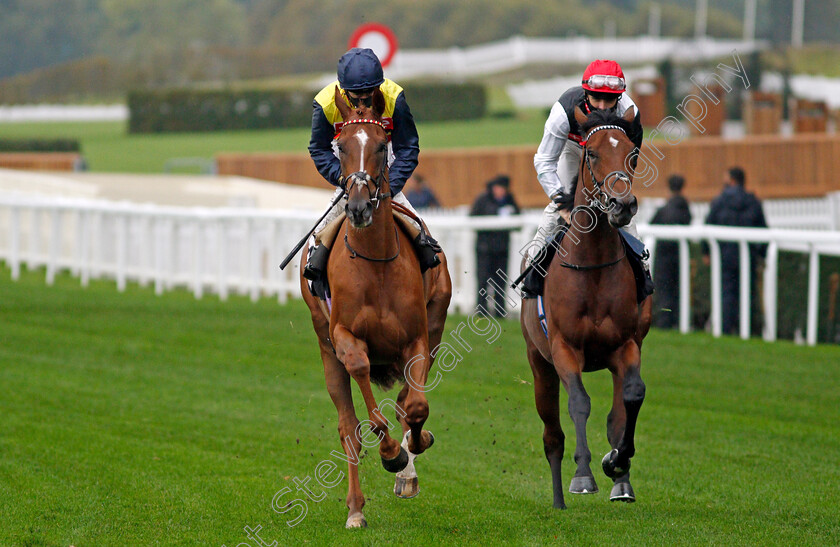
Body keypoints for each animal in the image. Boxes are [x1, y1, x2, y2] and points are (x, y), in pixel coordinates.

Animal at [296, 88, 450, 528]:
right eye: (342, 146)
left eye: (382, 146)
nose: (360, 208)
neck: (375, 263)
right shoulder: (344, 336)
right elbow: (364, 381)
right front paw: (391, 453)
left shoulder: (418, 338)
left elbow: (415, 406)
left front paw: (410, 457)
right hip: (324, 346)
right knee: (348, 428)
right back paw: (355, 509)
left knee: (404, 402)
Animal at [520, 106, 652, 510]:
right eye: (591, 153)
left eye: (632, 154)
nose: (622, 205)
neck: (591, 265)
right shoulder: (564, 348)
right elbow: (579, 402)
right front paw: (583, 475)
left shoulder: (625, 345)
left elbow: (632, 397)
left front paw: (616, 462)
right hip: (539, 363)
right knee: (552, 434)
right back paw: (559, 500)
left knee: (617, 412)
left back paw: (621, 482)